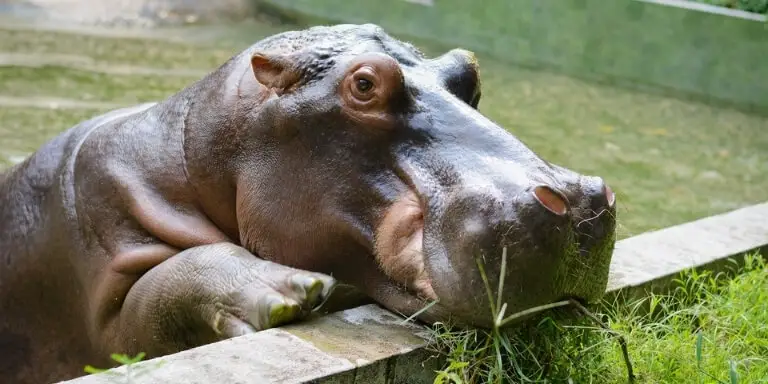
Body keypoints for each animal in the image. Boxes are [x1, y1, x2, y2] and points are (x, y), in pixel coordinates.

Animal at [0, 24, 616, 384]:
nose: (578, 201)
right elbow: (154, 297)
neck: (196, 153)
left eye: (468, 70)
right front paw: (290, 292)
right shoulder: (103, 278)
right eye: (364, 84)